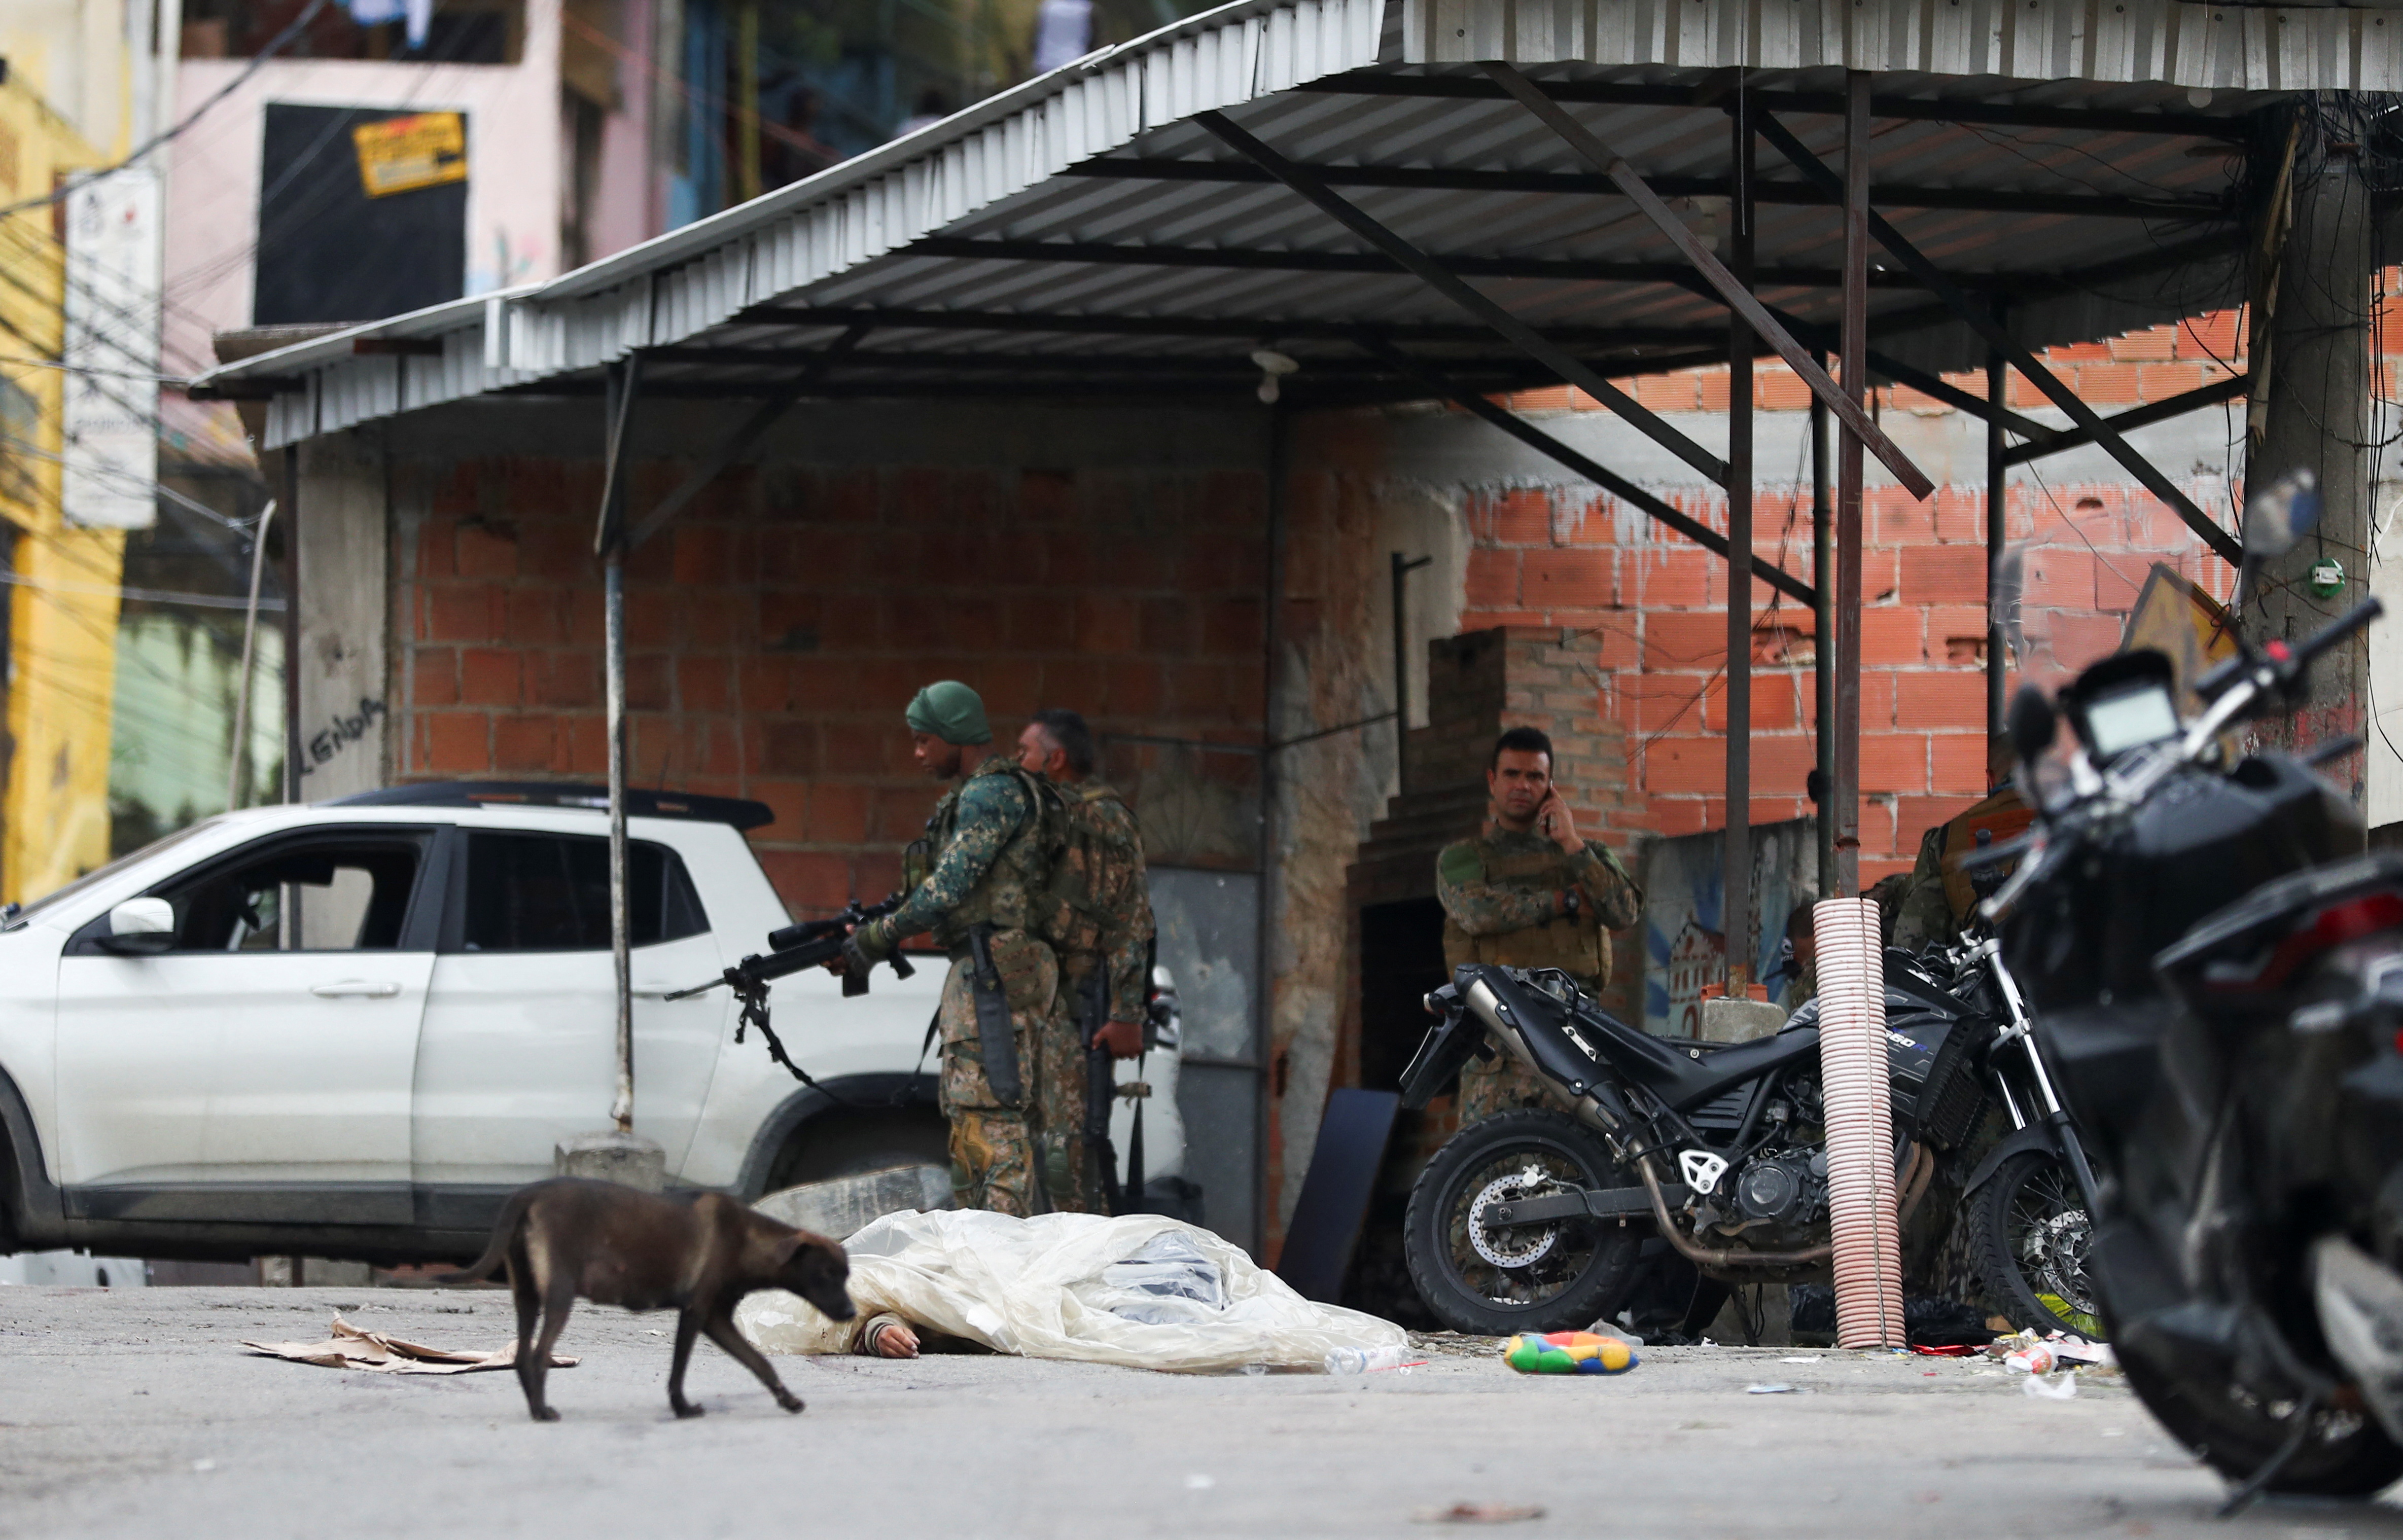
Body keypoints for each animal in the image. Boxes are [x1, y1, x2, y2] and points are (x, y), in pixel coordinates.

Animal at [442, 1177, 855, 1422]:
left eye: (846, 1275)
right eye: (826, 1273)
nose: (851, 1311)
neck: (747, 1239)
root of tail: (530, 1193)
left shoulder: (716, 1319)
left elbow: (760, 1363)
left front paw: (788, 1400)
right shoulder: (698, 1312)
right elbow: (679, 1369)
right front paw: (682, 1407)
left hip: (526, 1297)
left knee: (523, 1355)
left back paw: (534, 1408)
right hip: (560, 1293)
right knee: (540, 1354)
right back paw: (543, 1411)